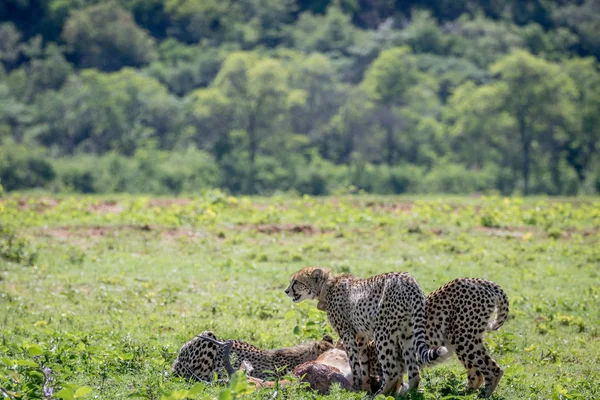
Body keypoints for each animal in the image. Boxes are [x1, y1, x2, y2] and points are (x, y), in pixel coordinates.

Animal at [284, 268, 448, 396]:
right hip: (407, 333)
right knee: (414, 373)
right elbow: (363, 364)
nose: (286, 291)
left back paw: (379, 395)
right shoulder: (360, 336)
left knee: (392, 372)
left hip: (383, 333)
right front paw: (364, 387)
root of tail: (409, 280)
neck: (327, 286)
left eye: (296, 282)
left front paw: (356, 387)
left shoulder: (347, 334)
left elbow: (354, 362)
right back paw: (405, 393)